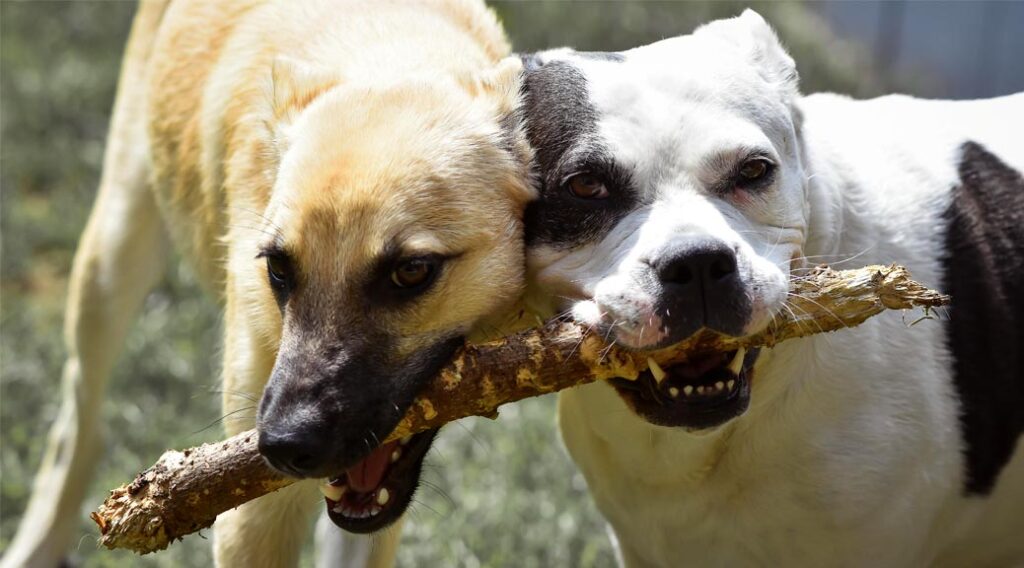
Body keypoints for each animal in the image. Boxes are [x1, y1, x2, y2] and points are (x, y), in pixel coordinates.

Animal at [6, 2, 536, 564]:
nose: (284, 445)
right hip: (111, 259)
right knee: (77, 426)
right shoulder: (252, 513)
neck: (388, 55)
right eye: (278, 268)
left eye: (411, 272)